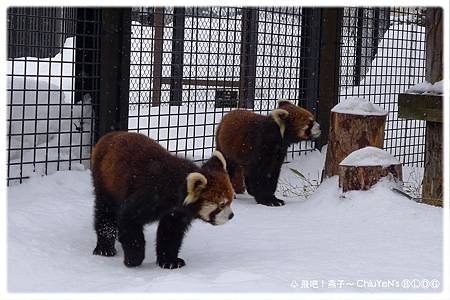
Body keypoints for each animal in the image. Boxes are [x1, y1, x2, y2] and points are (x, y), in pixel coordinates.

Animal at [90, 131, 234, 270]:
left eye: (231, 201)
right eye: (221, 204)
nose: (231, 216)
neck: (174, 188)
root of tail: (111, 135)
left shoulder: (176, 213)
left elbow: (170, 233)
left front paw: (169, 262)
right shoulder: (150, 196)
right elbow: (128, 219)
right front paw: (134, 259)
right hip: (105, 181)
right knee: (105, 212)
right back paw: (105, 247)